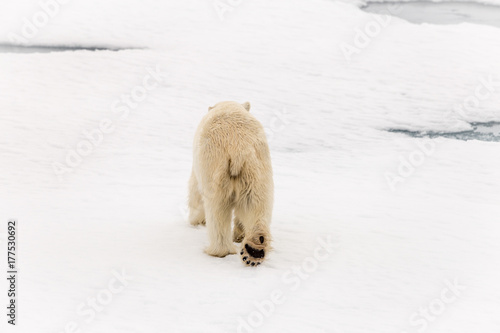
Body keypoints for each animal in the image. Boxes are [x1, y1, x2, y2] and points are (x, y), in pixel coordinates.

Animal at [188, 100, 274, 264]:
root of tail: (238, 149)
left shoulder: (200, 166)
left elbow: (195, 193)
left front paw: (195, 221)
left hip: (216, 171)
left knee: (217, 210)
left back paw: (218, 250)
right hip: (256, 170)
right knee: (256, 203)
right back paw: (254, 249)